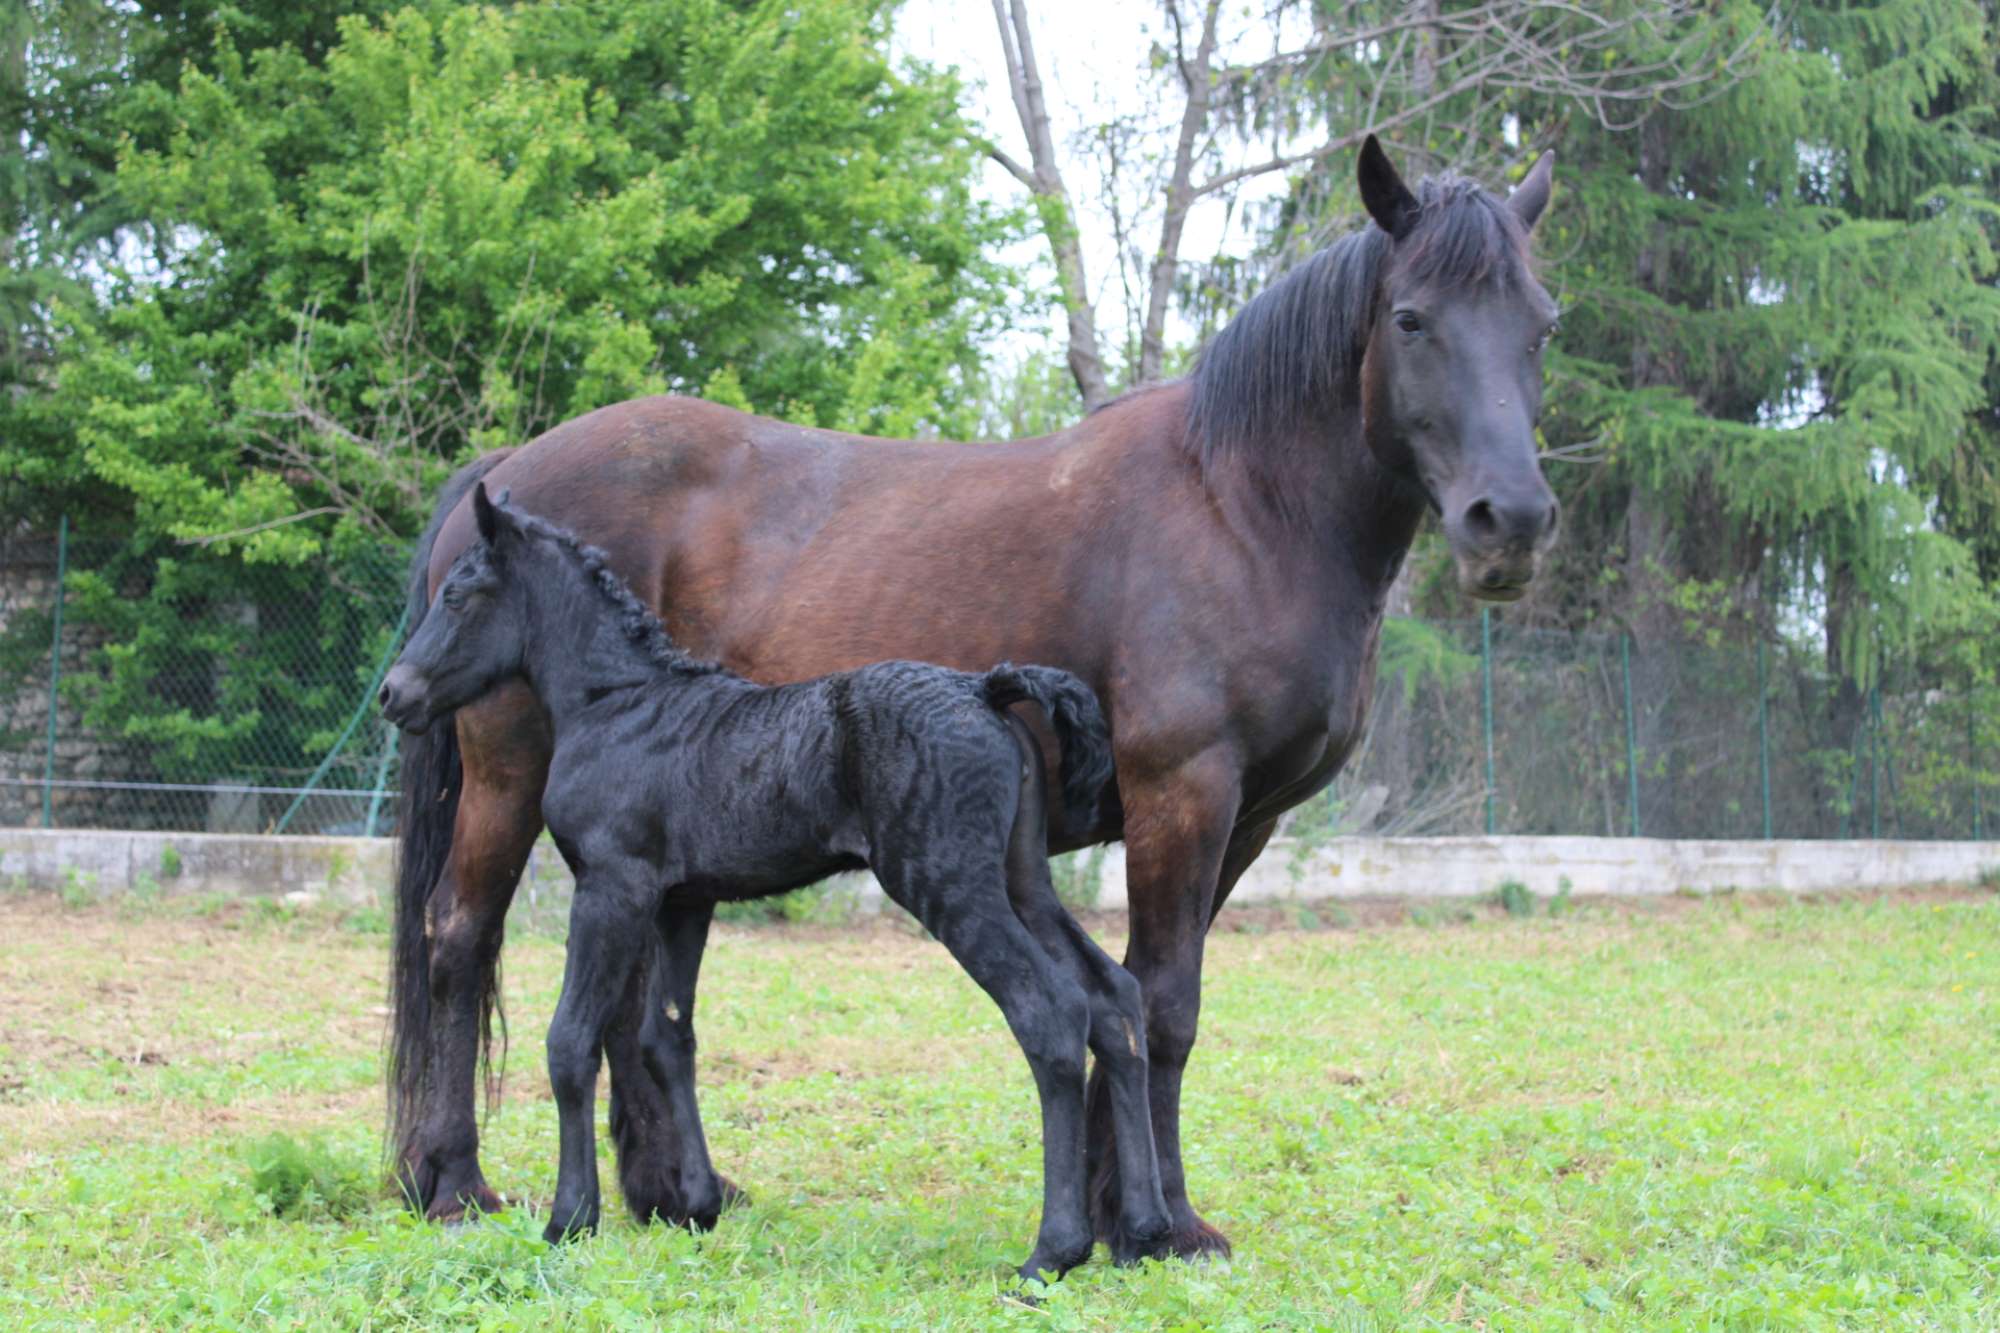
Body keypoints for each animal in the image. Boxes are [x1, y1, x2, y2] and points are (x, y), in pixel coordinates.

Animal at [377, 483, 1171, 1278]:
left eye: (457, 595)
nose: (392, 694)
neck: (616, 702)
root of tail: (986, 689)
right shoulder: (683, 903)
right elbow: (667, 1036)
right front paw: (697, 1204)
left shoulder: (611, 886)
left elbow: (571, 1040)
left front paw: (571, 1218)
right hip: (1022, 881)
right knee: (1114, 999)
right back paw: (1144, 1229)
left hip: (951, 886)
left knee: (1052, 1012)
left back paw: (1054, 1249)